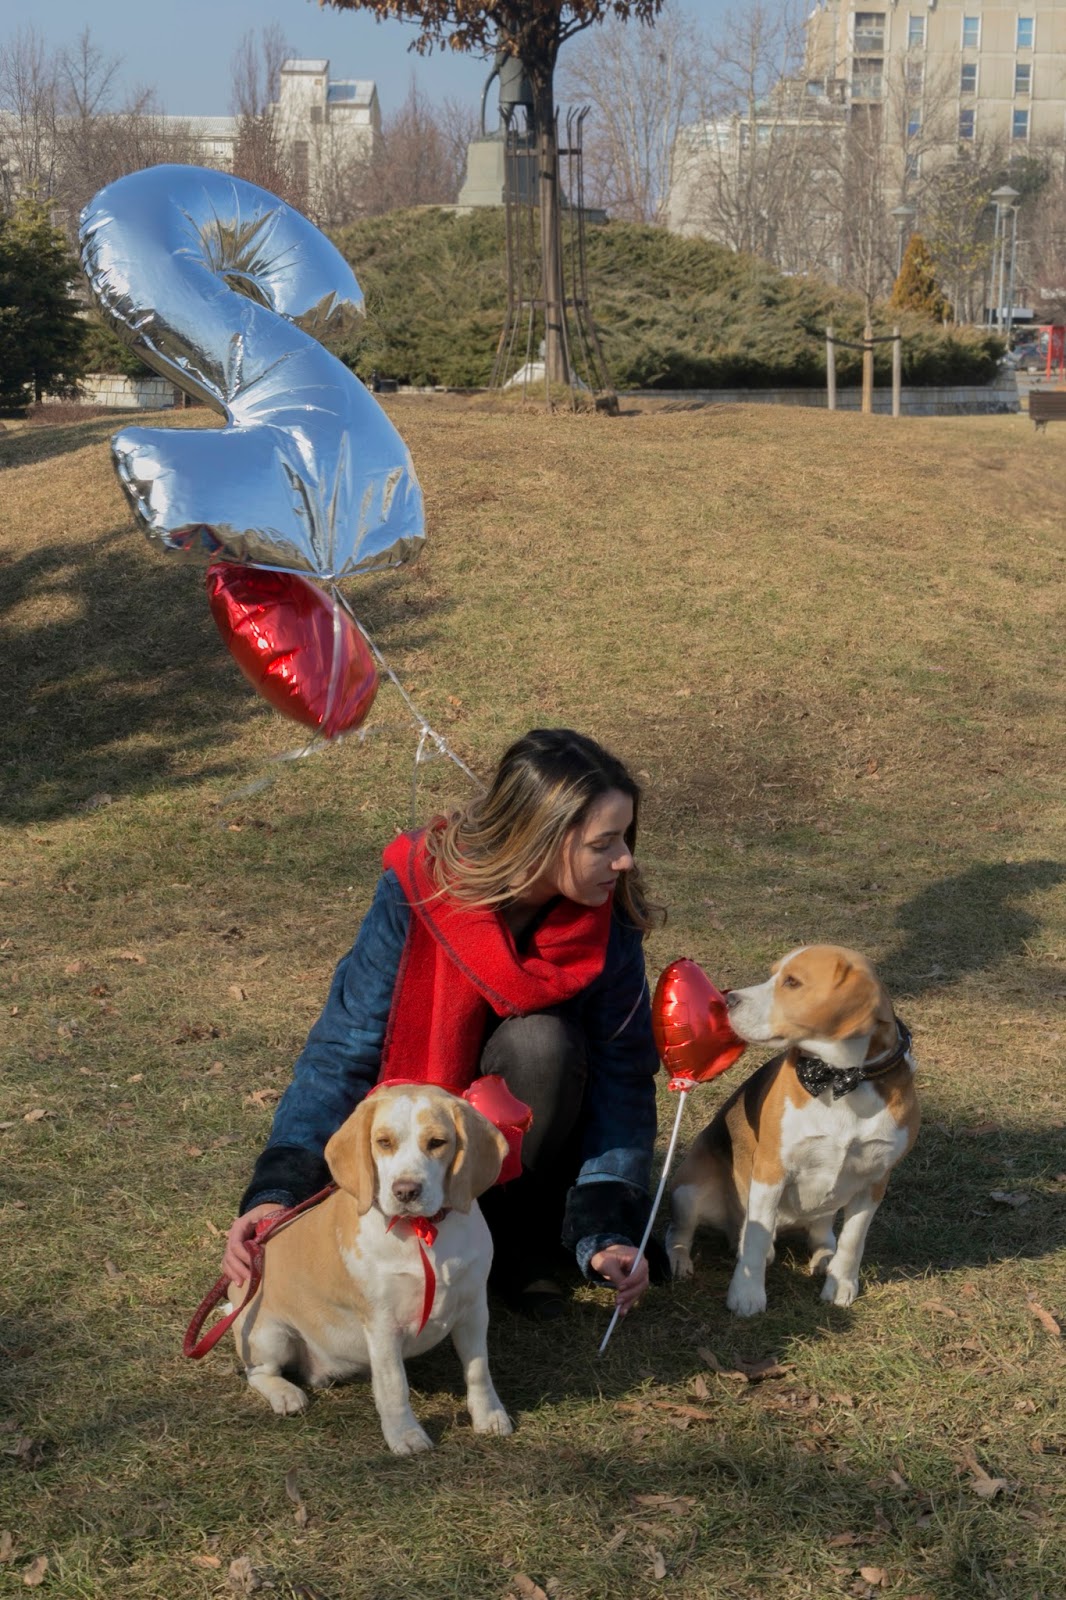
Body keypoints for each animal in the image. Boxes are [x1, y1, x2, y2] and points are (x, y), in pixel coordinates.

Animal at [230, 1083, 513, 1454]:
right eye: (384, 1142)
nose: (406, 1190)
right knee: (258, 1372)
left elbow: (478, 1369)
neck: (422, 1232)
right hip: (269, 1335)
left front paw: (489, 1415)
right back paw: (287, 1395)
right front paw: (405, 1434)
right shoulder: (383, 1324)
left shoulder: (474, 1310)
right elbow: (394, 1385)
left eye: (437, 1142)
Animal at [667, 945, 918, 1315]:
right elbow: (756, 1240)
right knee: (682, 1233)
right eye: (774, 975)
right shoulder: (771, 1168)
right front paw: (746, 1294)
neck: (842, 1080)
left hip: (826, 1210)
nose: (727, 1001)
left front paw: (842, 1285)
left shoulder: (875, 1180)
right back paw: (682, 1261)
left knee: (821, 1235)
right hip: (688, 1192)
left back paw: (824, 1257)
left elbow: (853, 1241)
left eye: (792, 982)